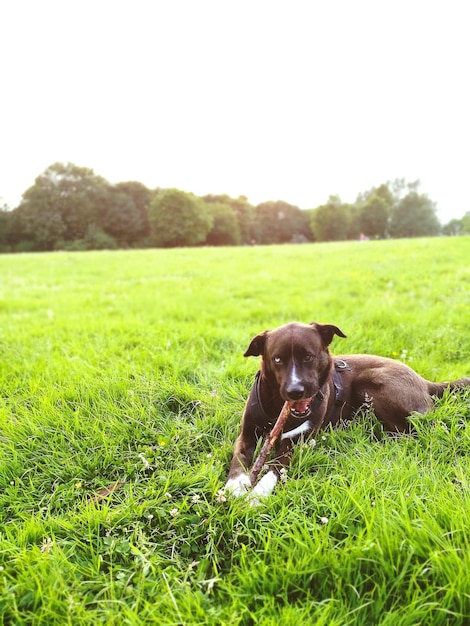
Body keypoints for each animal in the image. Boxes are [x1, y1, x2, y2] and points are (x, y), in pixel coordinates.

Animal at [226, 320, 468, 500]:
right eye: (277, 359)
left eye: (308, 356)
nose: (295, 391)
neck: (277, 408)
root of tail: (426, 382)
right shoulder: (246, 433)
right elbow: (238, 458)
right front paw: (234, 486)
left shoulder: (296, 444)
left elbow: (276, 468)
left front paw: (256, 496)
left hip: (372, 383)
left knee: (410, 433)